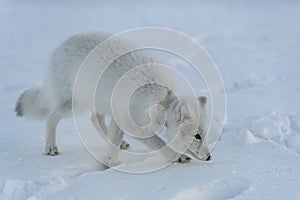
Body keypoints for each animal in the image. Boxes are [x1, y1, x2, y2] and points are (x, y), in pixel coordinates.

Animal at [14, 32, 211, 166]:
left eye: (205, 134)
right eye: (197, 135)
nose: (209, 157)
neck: (162, 99)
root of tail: (58, 48)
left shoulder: (122, 118)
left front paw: (111, 161)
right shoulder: (133, 125)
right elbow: (160, 144)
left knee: (95, 119)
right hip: (74, 106)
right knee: (51, 118)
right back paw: (50, 147)